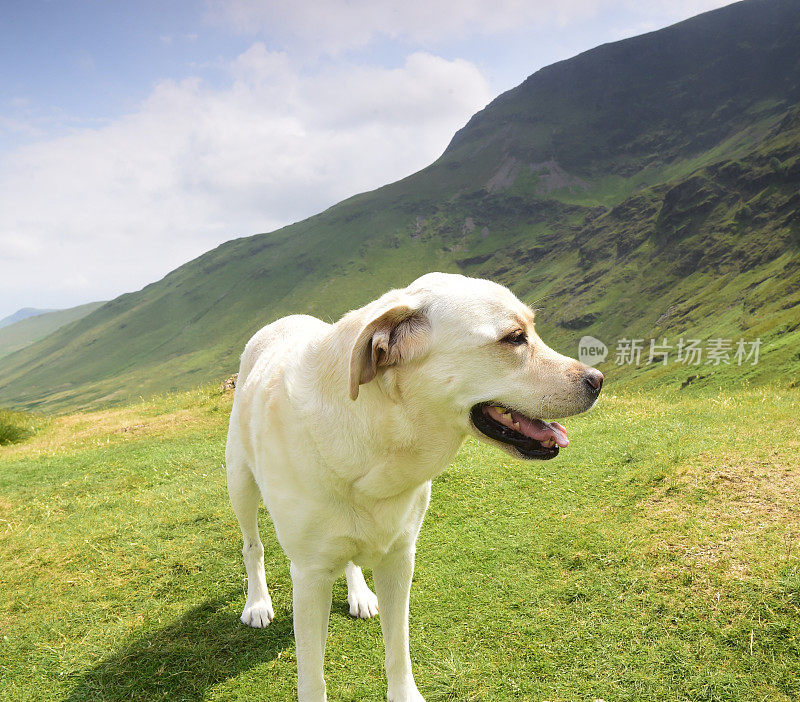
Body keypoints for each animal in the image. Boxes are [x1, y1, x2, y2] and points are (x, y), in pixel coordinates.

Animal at [225, 272, 600, 700]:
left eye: (532, 329)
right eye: (514, 338)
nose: (598, 380)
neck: (377, 439)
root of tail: (282, 320)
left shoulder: (400, 556)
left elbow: (398, 647)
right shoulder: (309, 576)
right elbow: (312, 677)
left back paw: (358, 593)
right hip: (240, 483)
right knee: (252, 546)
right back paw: (257, 603)